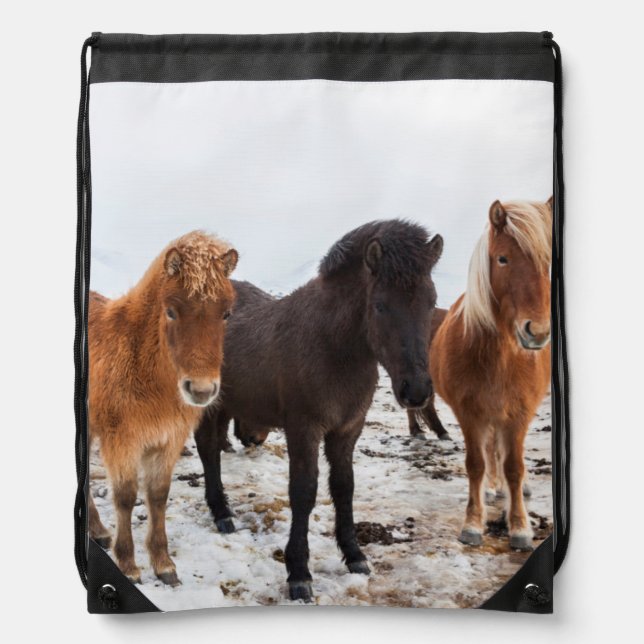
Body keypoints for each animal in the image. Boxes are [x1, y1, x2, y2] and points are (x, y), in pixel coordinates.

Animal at [87, 231, 238, 585]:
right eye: (171, 311)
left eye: (225, 314)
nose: (201, 390)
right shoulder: (122, 443)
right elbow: (126, 497)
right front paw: (128, 564)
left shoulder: (168, 442)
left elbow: (157, 495)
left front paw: (163, 563)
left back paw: (97, 531)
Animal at [195, 220, 443, 602]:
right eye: (380, 306)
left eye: (432, 302)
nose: (416, 391)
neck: (332, 346)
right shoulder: (303, 428)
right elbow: (304, 491)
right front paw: (299, 573)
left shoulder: (347, 430)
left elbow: (343, 487)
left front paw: (354, 555)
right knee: (207, 450)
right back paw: (222, 514)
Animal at [430, 198, 552, 551]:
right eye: (502, 258)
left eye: (548, 261)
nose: (537, 332)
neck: (500, 359)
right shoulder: (470, 413)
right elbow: (476, 463)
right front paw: (472, 524)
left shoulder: (520, 414)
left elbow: (514, 467)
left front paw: (520, 527)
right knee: (489, 453)